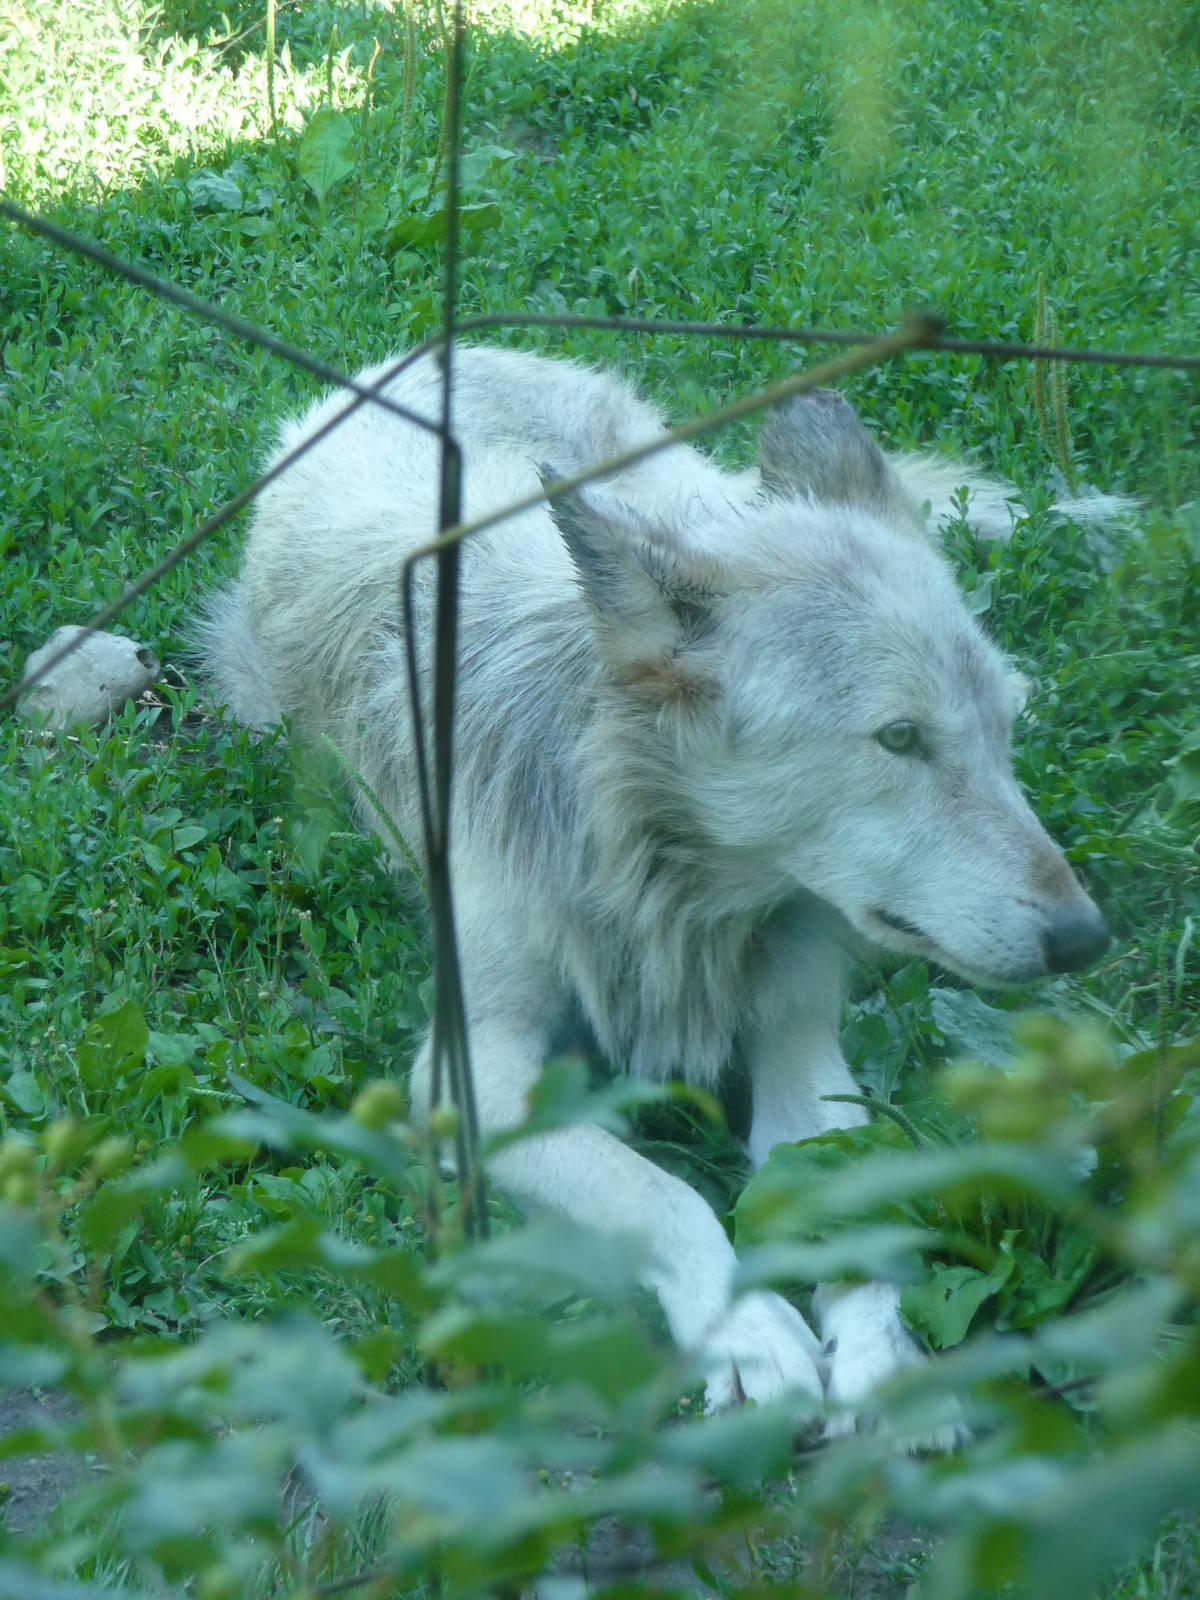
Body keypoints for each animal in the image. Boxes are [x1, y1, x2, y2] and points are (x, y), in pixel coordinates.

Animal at [196, 345, 1110, 1441]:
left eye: (998, 731)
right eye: (899, 739)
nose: (1085, 936)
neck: (672, 885)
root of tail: (438, 349)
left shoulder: (802, 1045)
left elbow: (844, 1197)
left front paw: (886, 1363)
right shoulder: (470, 1073)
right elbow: (661, 1192)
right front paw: (751, 1334)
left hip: (682, 488)